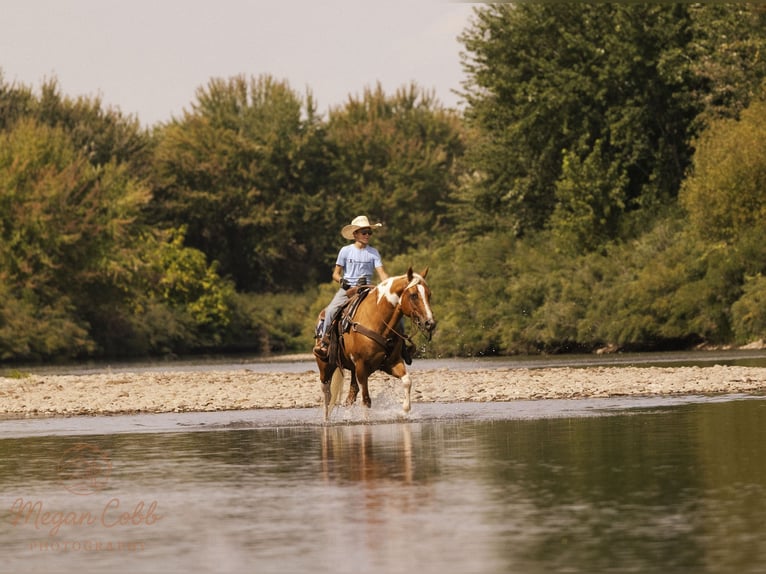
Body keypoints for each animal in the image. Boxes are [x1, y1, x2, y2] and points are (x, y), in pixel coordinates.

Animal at [314, 267, 436, 420]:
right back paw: (326, 419)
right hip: (325, 366)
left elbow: (407, 380)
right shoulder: (361, 367)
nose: (430, 323)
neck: (376, 319)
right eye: (413, 295)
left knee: (350, 396)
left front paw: (404, 411)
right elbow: (366, 400)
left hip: (352, 370)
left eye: (429, 294)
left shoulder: (392, 363)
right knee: (327, 394)